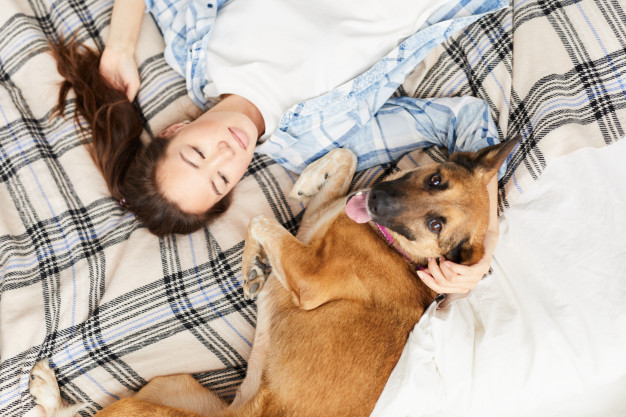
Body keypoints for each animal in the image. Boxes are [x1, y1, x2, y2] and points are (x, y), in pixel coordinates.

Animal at [30, 141, 516, 416]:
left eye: (437, 225)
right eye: (435, 180)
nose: (376, 199)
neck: (395, 246)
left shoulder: (308, 276)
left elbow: (261, 221)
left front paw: (252, 265)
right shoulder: (310, 226)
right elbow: (344, 159)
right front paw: (309, 179)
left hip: (139, 404)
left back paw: (47, 393)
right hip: (173, 384)